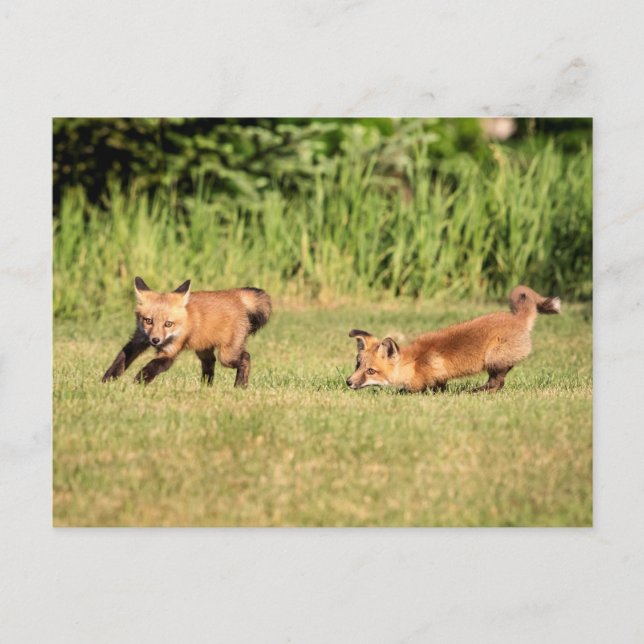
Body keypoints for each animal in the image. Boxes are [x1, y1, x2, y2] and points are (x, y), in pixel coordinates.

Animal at [102, 277, 272, 387]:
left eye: (168, 324)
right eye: (148, 321)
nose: (155, 340)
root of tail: (235, 294)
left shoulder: (170, 351)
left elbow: (152, 366)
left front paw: (138, 382)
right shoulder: (139, 339)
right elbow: (121, 360)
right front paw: (107, 380)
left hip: (227, 356)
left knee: (246, 357)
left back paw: (240, 385)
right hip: (203, 349)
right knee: (210, 363)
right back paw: (205, 387)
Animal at [346, 285, 560, 394]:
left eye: (371, 371)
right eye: (357, 365)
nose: (348, 382)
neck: (413, 363)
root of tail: (517, 318)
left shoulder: (431, 378)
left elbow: (414, 390)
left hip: (493, 359)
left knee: (497, 384)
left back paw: (474, 392)